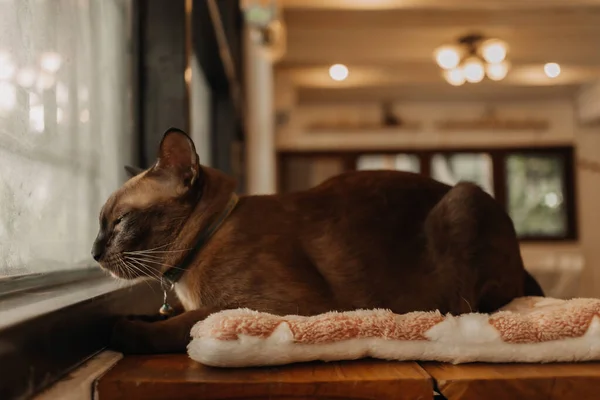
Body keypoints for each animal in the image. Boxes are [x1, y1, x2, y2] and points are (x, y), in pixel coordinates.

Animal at [92, 127, 544, 354]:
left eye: (119, 222)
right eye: (100, 225)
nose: (94, 253)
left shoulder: (272, 307)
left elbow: (186, 325)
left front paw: (122, 330)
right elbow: (163, 317)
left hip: (464, 201)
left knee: (470, 307)